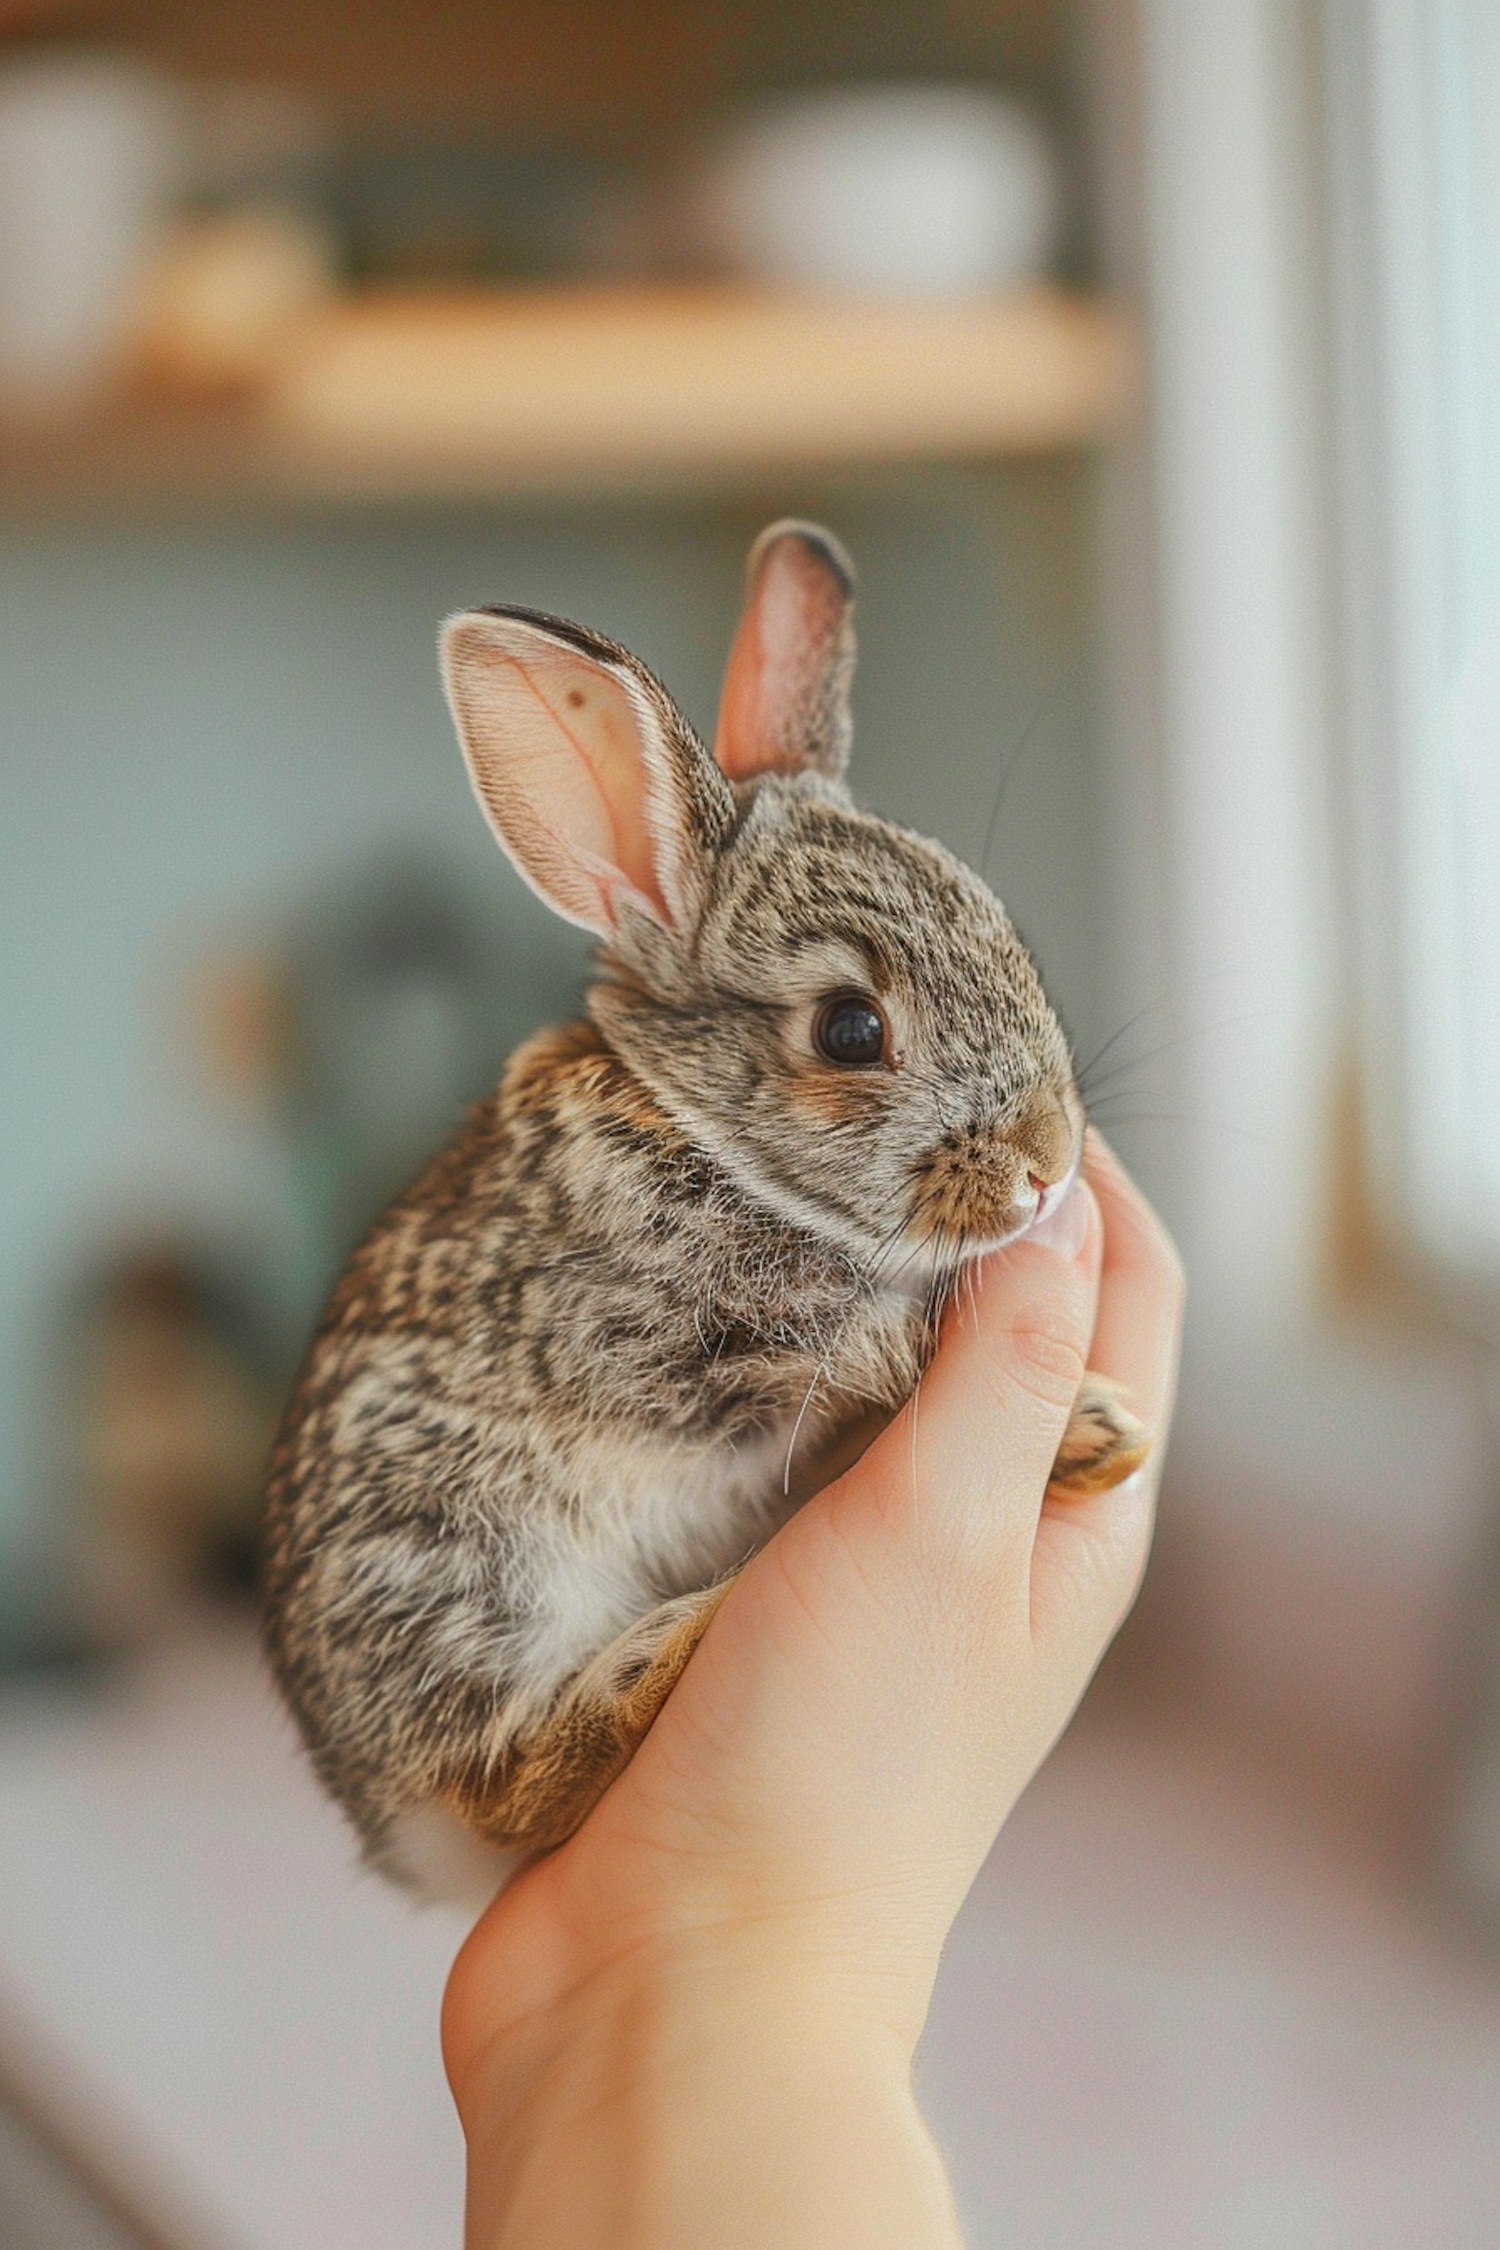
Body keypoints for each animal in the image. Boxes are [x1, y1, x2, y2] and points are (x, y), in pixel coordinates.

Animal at [260, 522, 1151, 1899]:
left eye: (1002, 925)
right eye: (851, 1031)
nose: (1047, 1164)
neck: (703, 1137)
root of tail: (387, 1827)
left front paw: (1101, 1433)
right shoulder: (676, 1344)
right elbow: (868, 1361)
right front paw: (1096, 1424)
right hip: (460, 1560)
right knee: (510, 1780)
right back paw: (667, 1651)